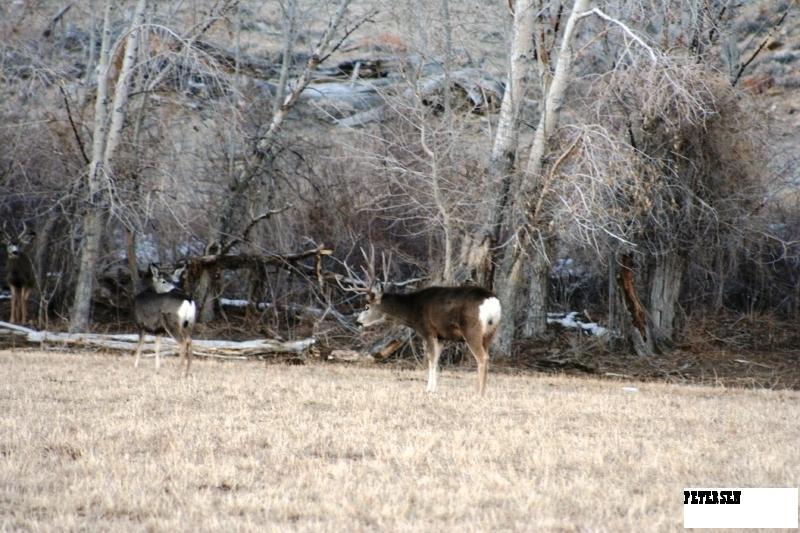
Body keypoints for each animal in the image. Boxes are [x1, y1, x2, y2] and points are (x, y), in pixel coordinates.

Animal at [348, 247, 500, 392]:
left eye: (366, 306)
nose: (358, 322)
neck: (413, 309)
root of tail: (491, 302)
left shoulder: (428, 331)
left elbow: (431, 360)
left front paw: (429, 389)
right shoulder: (441, 337)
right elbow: (436, 361)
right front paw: (434, 388)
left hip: (471, 330)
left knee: (482, 358)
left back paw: (478, 393)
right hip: (490, 332)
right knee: (486, 356)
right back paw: (481, 391)